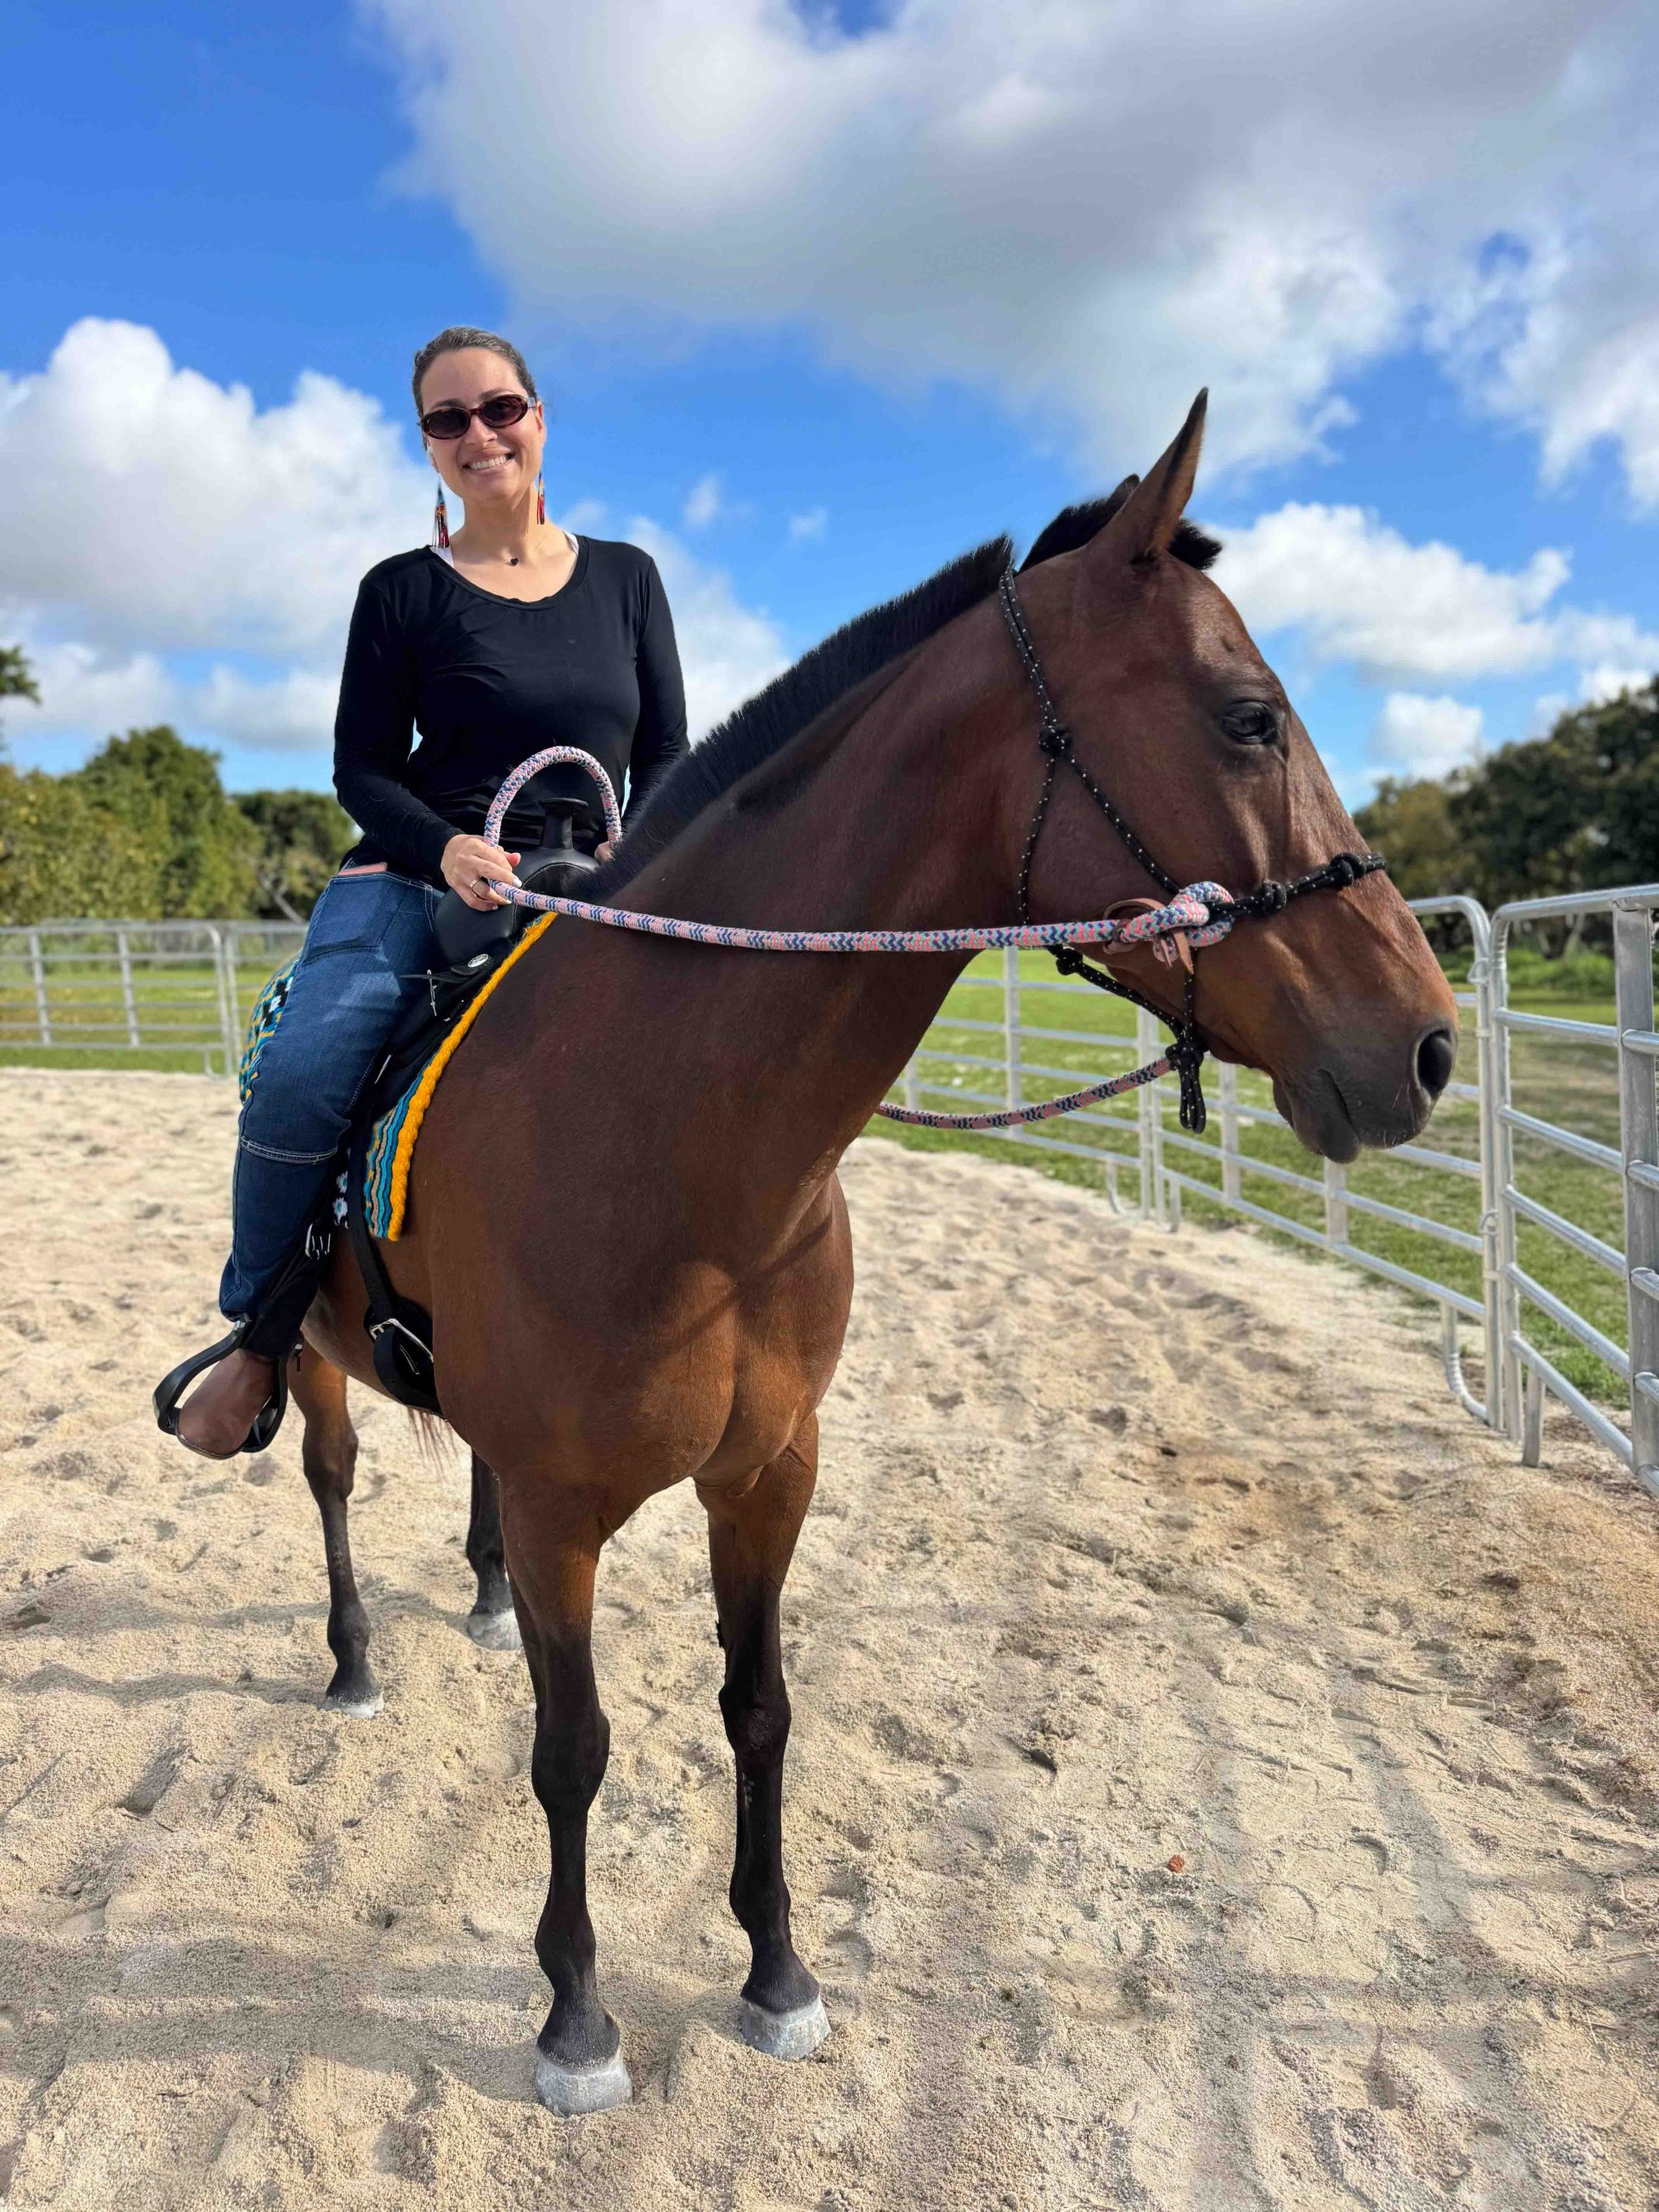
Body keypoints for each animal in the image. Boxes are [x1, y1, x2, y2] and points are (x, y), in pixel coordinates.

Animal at [289, 394, 1458, 2113]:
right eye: (1252, 718)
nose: (1428, 1048)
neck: (669, 1143)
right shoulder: (574, 1510)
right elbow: (574, 1749)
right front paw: (576, 2017)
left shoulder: (771, 1470)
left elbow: (760, 1710)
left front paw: (778, 1972)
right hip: (310, 1356)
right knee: (329, 1477)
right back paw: (354, 1656)